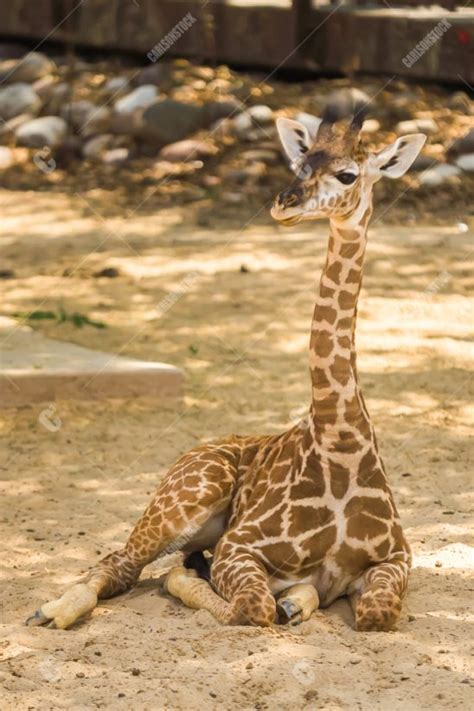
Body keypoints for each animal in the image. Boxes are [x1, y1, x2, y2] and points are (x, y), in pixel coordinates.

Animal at [25, 100, 426, 636]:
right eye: (301, 162)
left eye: (347, 174)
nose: (284, 203)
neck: (340, 440)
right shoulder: (239, 544)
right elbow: (250, 607)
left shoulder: (396, 557)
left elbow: (377, 612)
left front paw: (298, 599)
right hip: (189, 495)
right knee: (123, 563)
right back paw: (52, 611)